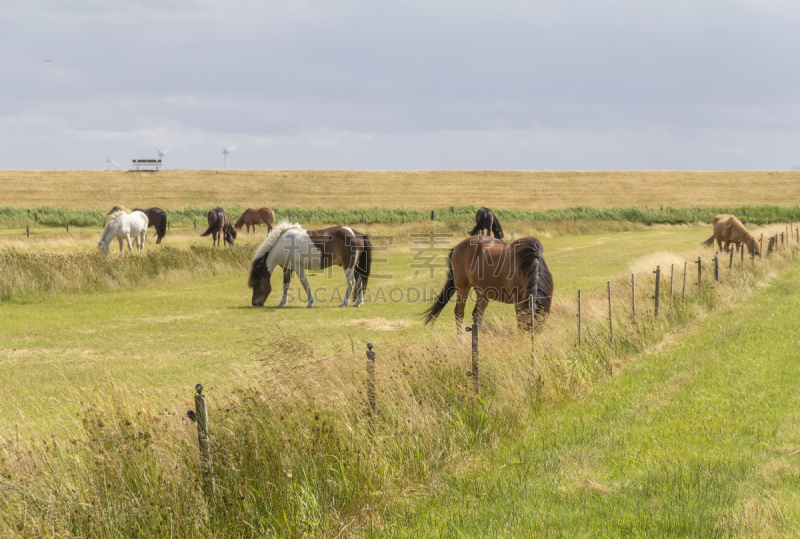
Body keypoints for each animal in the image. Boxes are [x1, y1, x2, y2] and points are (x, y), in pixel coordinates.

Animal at [422, 236, 552, 330]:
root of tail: (457, 247)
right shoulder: (518, 301)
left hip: (482, 291)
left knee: (477, 314)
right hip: (462, 287)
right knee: (459, 313)